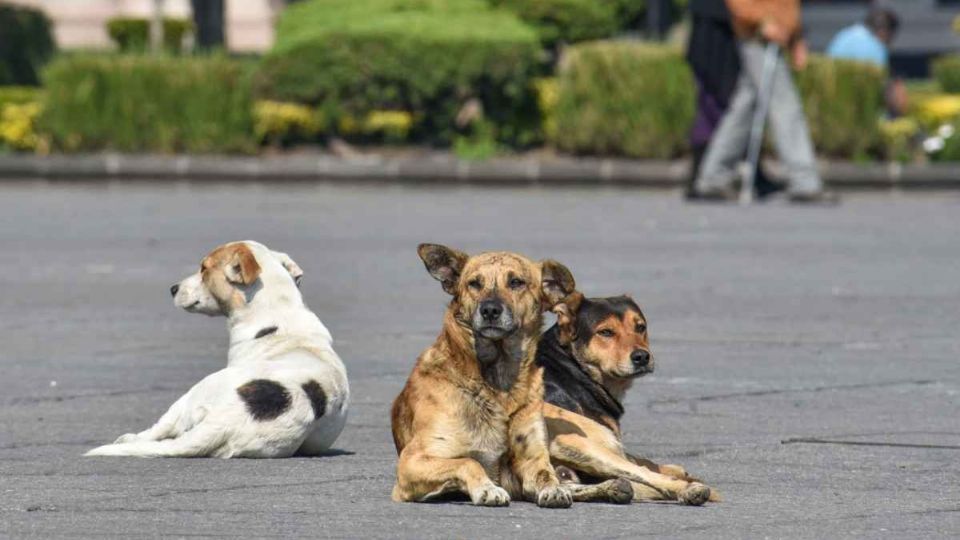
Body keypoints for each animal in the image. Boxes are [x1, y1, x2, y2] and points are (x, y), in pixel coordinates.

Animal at [85, 243, 348, 458]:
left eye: (204, 268)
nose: (173, 288)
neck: (279, 309)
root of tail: (227, 420)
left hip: (193, 393)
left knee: (159, 428)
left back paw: (130, 438)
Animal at [390, 245, 632, 506]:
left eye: (516, 282)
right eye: (474, 283)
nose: (490, 310)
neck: (498, 382)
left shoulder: (531, 459)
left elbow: (546, 475)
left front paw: (554, 490)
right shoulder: (413, 462)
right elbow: (468, 461)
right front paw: (487, 489)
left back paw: (611, 487)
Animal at [536, 294, 716, 504]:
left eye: (640, 327)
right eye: (605, 332)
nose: (642, 357)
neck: (571, 365)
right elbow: (642, 464)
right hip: (580, 445)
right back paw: (689, 490)